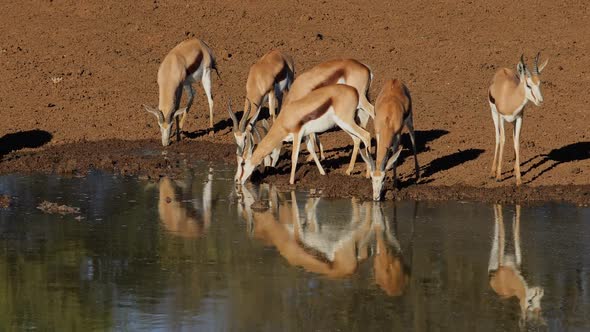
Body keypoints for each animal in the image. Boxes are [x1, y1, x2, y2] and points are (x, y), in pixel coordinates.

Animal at [235, 84, 370, 185]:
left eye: (242, 163)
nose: (236, 180)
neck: (285, 119)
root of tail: (354, 90)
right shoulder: (306, 135)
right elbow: (312, 151)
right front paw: (323, 174)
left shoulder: (297, 135)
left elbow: (294, 157)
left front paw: (291, 182)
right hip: (344, 124)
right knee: (357, 139)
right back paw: (349, 171)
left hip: (346, 121)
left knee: (366, 135)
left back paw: (368, 175)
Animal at [490, 53, 552, 185]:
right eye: (528, 85)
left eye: (539, 83)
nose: (540, 101)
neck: (510, 98)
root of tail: (503, 69)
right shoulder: (501, 118)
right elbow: (503, 140)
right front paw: (499, 176)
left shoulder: (519, 118)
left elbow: (517, 141)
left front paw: (518, 179)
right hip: (494, 115)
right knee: (498, 137)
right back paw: (492, 172)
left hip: (513, 121)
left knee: (513, 139)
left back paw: (514, 169)